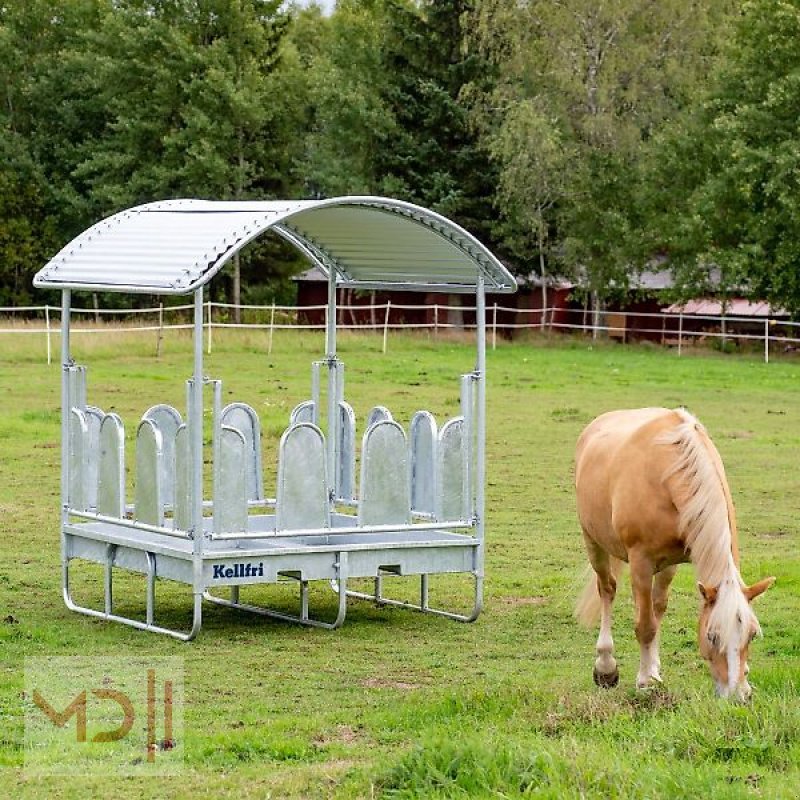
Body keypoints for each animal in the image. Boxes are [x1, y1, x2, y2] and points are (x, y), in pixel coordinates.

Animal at [574, 407, 774, 701]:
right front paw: (644, 681)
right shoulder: (641, 562)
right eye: (712, 636)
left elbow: (655, 616)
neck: (667, 474)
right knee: (607, 589)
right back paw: (606, 665)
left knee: (657, 604)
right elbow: (645, 626)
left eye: (751, 635)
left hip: (667, 565)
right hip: (594, 543)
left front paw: (652, 673)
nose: (736, 696)